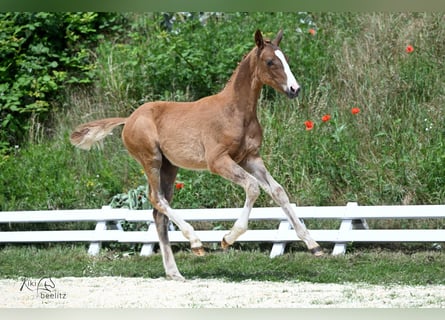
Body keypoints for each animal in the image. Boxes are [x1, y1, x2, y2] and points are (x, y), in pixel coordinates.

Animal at [70, 30, 322, 280]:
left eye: (285, 58)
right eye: (270, 61)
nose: (295, 89)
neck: (236, 112)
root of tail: (129, 119)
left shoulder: (250, 158)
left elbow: (278, 191)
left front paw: (314, 245)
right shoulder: (218, 161)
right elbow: (252, 188)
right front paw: (227, 239)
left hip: (169, 167)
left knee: (158, 212)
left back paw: (174, 272)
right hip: (151, 160)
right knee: (157, 199)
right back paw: (196, 242)